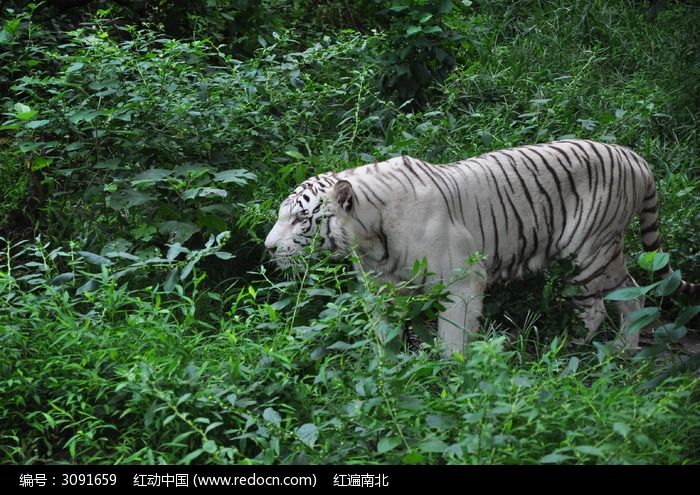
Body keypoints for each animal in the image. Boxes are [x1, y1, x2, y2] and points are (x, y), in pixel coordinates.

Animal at [266, 140, 696, 356]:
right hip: (597, 253)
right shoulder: (380, 289)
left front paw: (450, 374)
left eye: (300, 219)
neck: (370, 238)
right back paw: (608, 348)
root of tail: (635, 157)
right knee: (622, 296)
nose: (268, 248)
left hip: (590, 250)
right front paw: (387, 371)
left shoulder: (461, 280)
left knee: (607, 305)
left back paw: (579, 351)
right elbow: (384, 334)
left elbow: (452, 336)